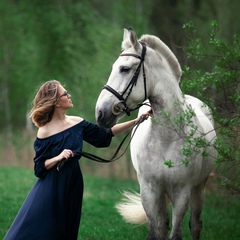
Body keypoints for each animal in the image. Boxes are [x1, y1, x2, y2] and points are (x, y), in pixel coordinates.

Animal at [94, 29, 217, 239]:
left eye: (124, 69)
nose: (101, 113)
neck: (166, 138)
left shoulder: (181, 192)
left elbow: (176, 233)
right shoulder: (149, 191)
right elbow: (155, 231)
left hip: (198, 187)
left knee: (195, 224)